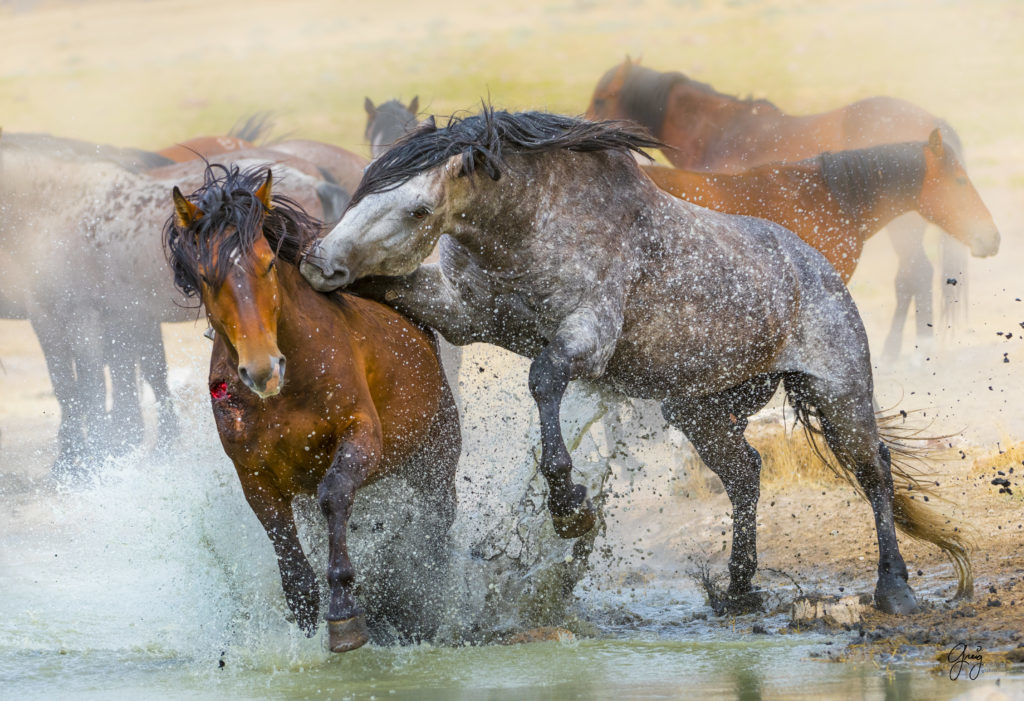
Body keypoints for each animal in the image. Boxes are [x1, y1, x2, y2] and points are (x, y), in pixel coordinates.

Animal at [164, 163, 460, 650]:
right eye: (207, 276)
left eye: (267, 263)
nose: (263, 369)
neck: (288, 392)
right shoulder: (256, 477)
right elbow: (290, 560)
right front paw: (305, 626)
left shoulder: (361, 434)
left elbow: (335, 494)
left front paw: (344, 614)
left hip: (433, 462)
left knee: (437, 526)